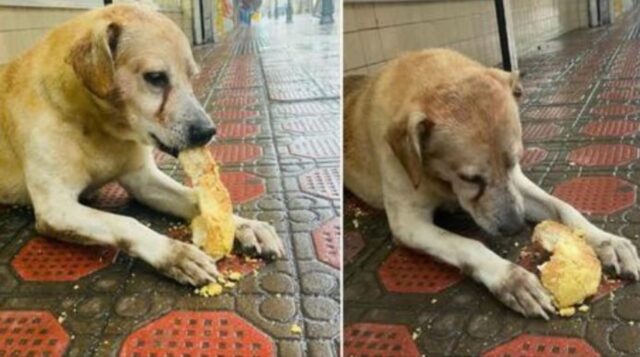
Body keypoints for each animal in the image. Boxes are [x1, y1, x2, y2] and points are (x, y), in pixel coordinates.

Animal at [0, 4, 284, 286]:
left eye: (191, 77)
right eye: (156, 77)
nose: (208, 132)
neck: (99, 127)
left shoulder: (143, 180)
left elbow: (194, 197)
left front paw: (244, 225)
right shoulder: (55, 208)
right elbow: (126, 222)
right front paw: (174, 254)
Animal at [344, 49, 640, 318]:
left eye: (514, 161)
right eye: (470, 178)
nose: (515, 227)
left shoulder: (517, 184)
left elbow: (565, 208)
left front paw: (606, 240)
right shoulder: (407, 223)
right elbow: (467, 245)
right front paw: (510, 278)